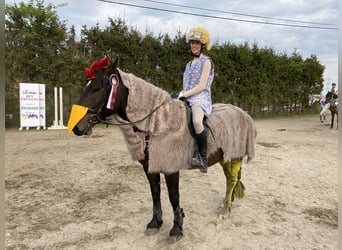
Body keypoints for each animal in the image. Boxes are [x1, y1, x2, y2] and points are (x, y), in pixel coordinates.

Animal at [68, 56, 256, 242]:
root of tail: (243, 112)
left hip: (234, 156)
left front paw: (177, 228)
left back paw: (225, 210)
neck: (158, 123)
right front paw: (155, 223)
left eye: (96, 88)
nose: (77, 128)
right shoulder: (149, 167)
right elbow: (155, 193)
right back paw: (227, 204)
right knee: (230, 179)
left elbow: (173, 196)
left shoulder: (170, 168)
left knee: (231, 180)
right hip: (226, 157)